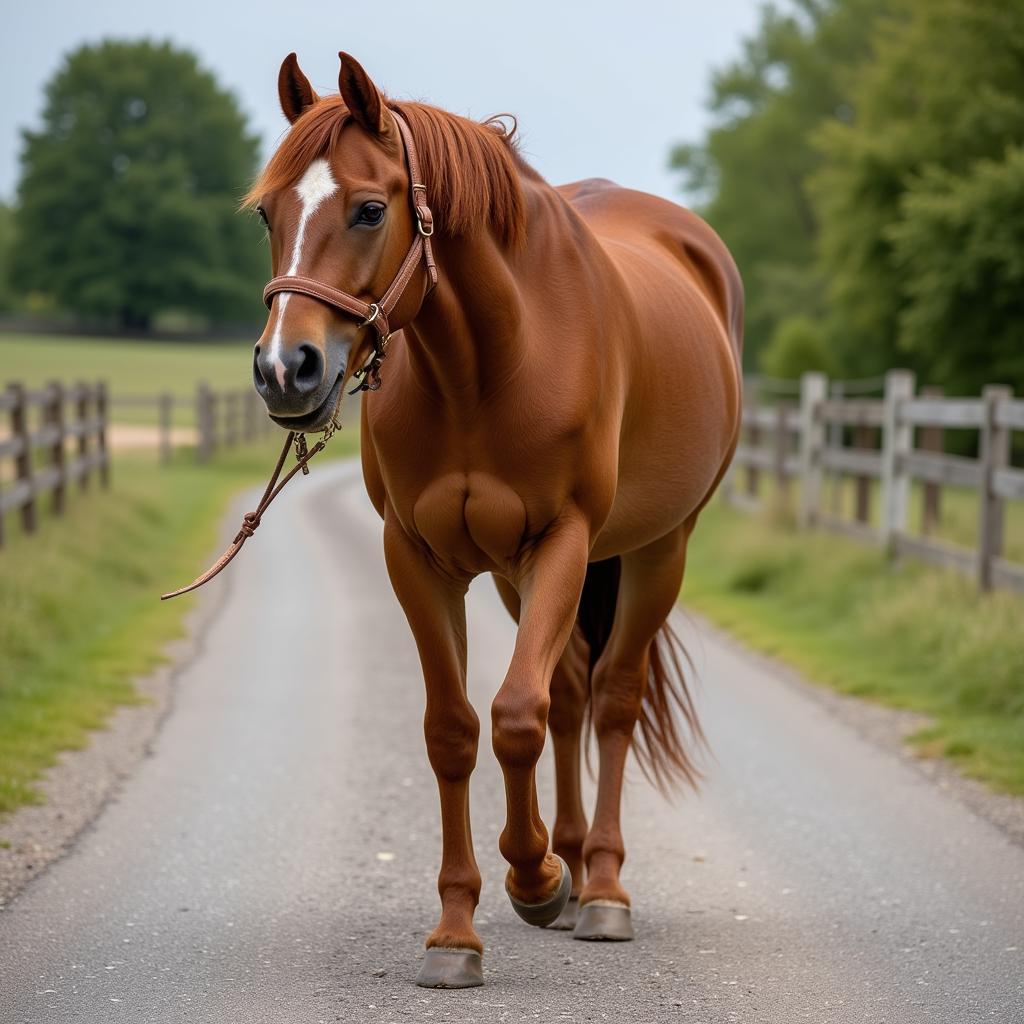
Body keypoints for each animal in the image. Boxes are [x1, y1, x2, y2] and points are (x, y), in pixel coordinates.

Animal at [247, 51, 745, 987]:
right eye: (268, 211)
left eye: (370, 209)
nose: (285, 369)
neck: (490, 363)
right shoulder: (417, 556)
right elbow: (455, 730)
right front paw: (456, 931)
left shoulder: (563, 541)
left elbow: (514, 716)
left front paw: (534, 876)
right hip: (523, 578)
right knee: (572, 692)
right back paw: (576, 858)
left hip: (658, 551)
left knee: (611, 699)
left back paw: (600, 887)